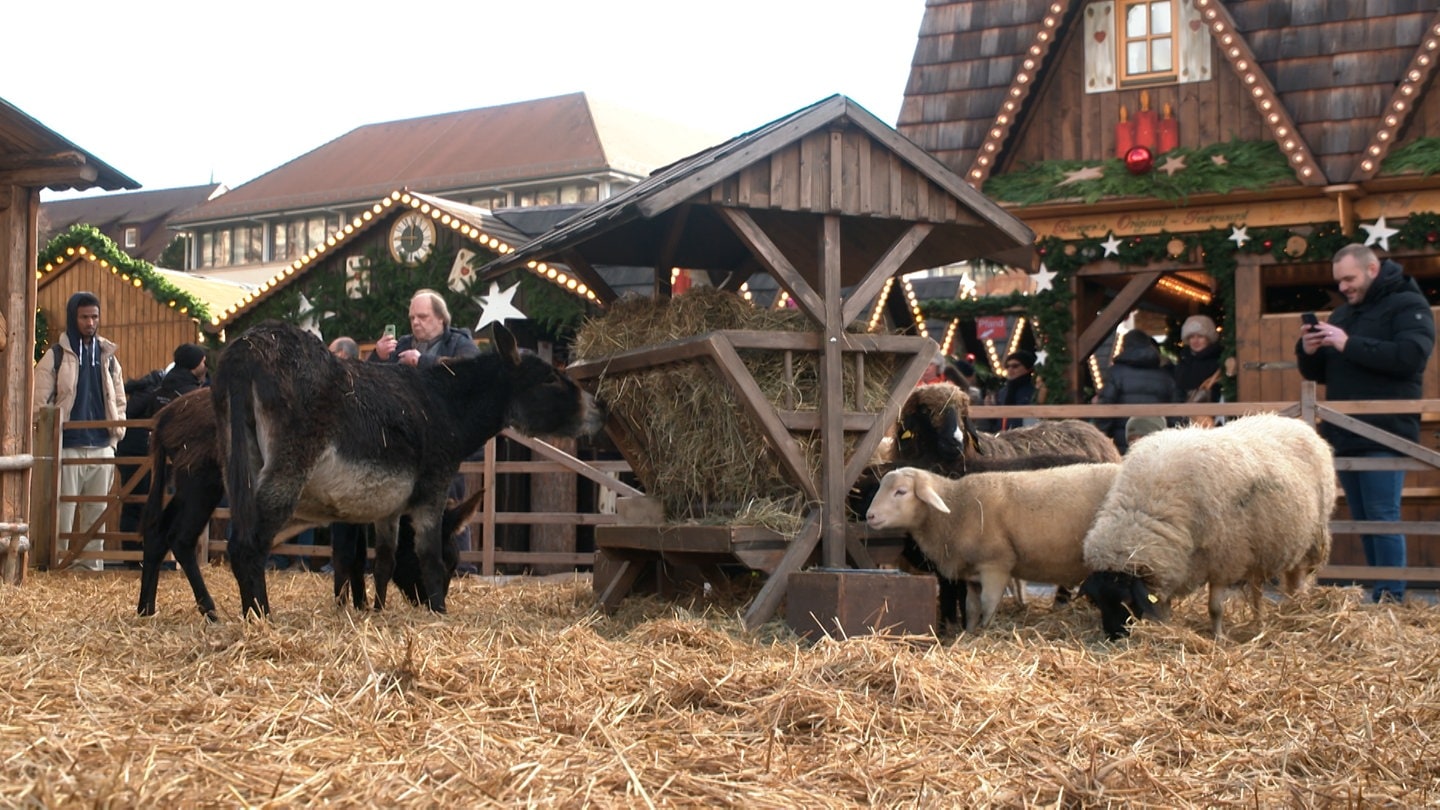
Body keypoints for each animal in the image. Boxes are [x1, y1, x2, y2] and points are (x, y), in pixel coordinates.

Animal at [864, 461, 1123, 631]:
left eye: (901, 491)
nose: (870, 516)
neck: (957, 509)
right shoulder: (972, 574)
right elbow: (971, 608)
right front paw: (968, 634)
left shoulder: (996, 566)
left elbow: (988, 606)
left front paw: (984, 633)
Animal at [1082, 412, 1336, 639]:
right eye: (1096, 601)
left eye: (1126, 600)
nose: (1113, 635)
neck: (1146, 508)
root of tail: (1294, 422)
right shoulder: (1176, 564)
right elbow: (1163, 609)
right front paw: (1168, 630)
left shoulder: (1225, 559)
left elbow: (1215, 608)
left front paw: (1218, 637)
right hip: (1259, 546)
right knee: (1257, 589)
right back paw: (1259, 622)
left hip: (1309, 538)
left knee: (1296, 579)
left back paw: (1295, 611)